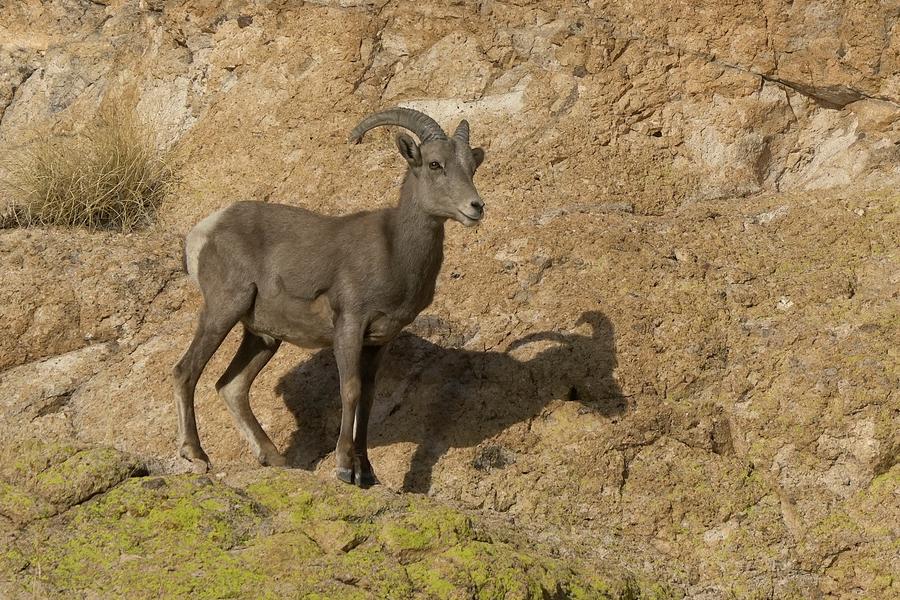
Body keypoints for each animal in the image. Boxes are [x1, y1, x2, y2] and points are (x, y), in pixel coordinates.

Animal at [175, 108, 486, 488]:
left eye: (471, 167)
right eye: (435, 164)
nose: (475, 207)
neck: (394, 250)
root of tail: (204, 230)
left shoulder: (379, 341)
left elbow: (368, 399)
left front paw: (368, 474)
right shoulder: (349, 326)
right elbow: (350, 390)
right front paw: (344, 469)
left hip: (263, 337)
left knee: (231, 386)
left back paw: (275, 460)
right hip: (223, 310)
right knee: (185, 371)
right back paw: (197, 456)